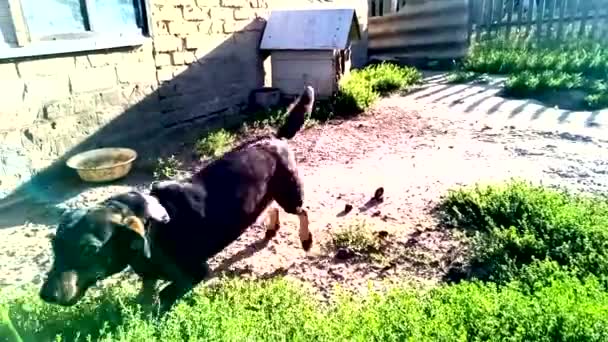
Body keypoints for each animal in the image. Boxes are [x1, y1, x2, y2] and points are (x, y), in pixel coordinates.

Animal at [38, 85, 316, 312]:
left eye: (89, 249)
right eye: (54, 245)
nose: (46, 295)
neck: (154, 229)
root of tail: (274, 137)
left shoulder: (197, 271)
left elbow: (164, 295)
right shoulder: (148, 276)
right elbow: (146, 295)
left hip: (290, 193)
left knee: (302, 211)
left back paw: (306, 239)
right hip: (271, 193)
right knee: (271, 206)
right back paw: (271, 227)